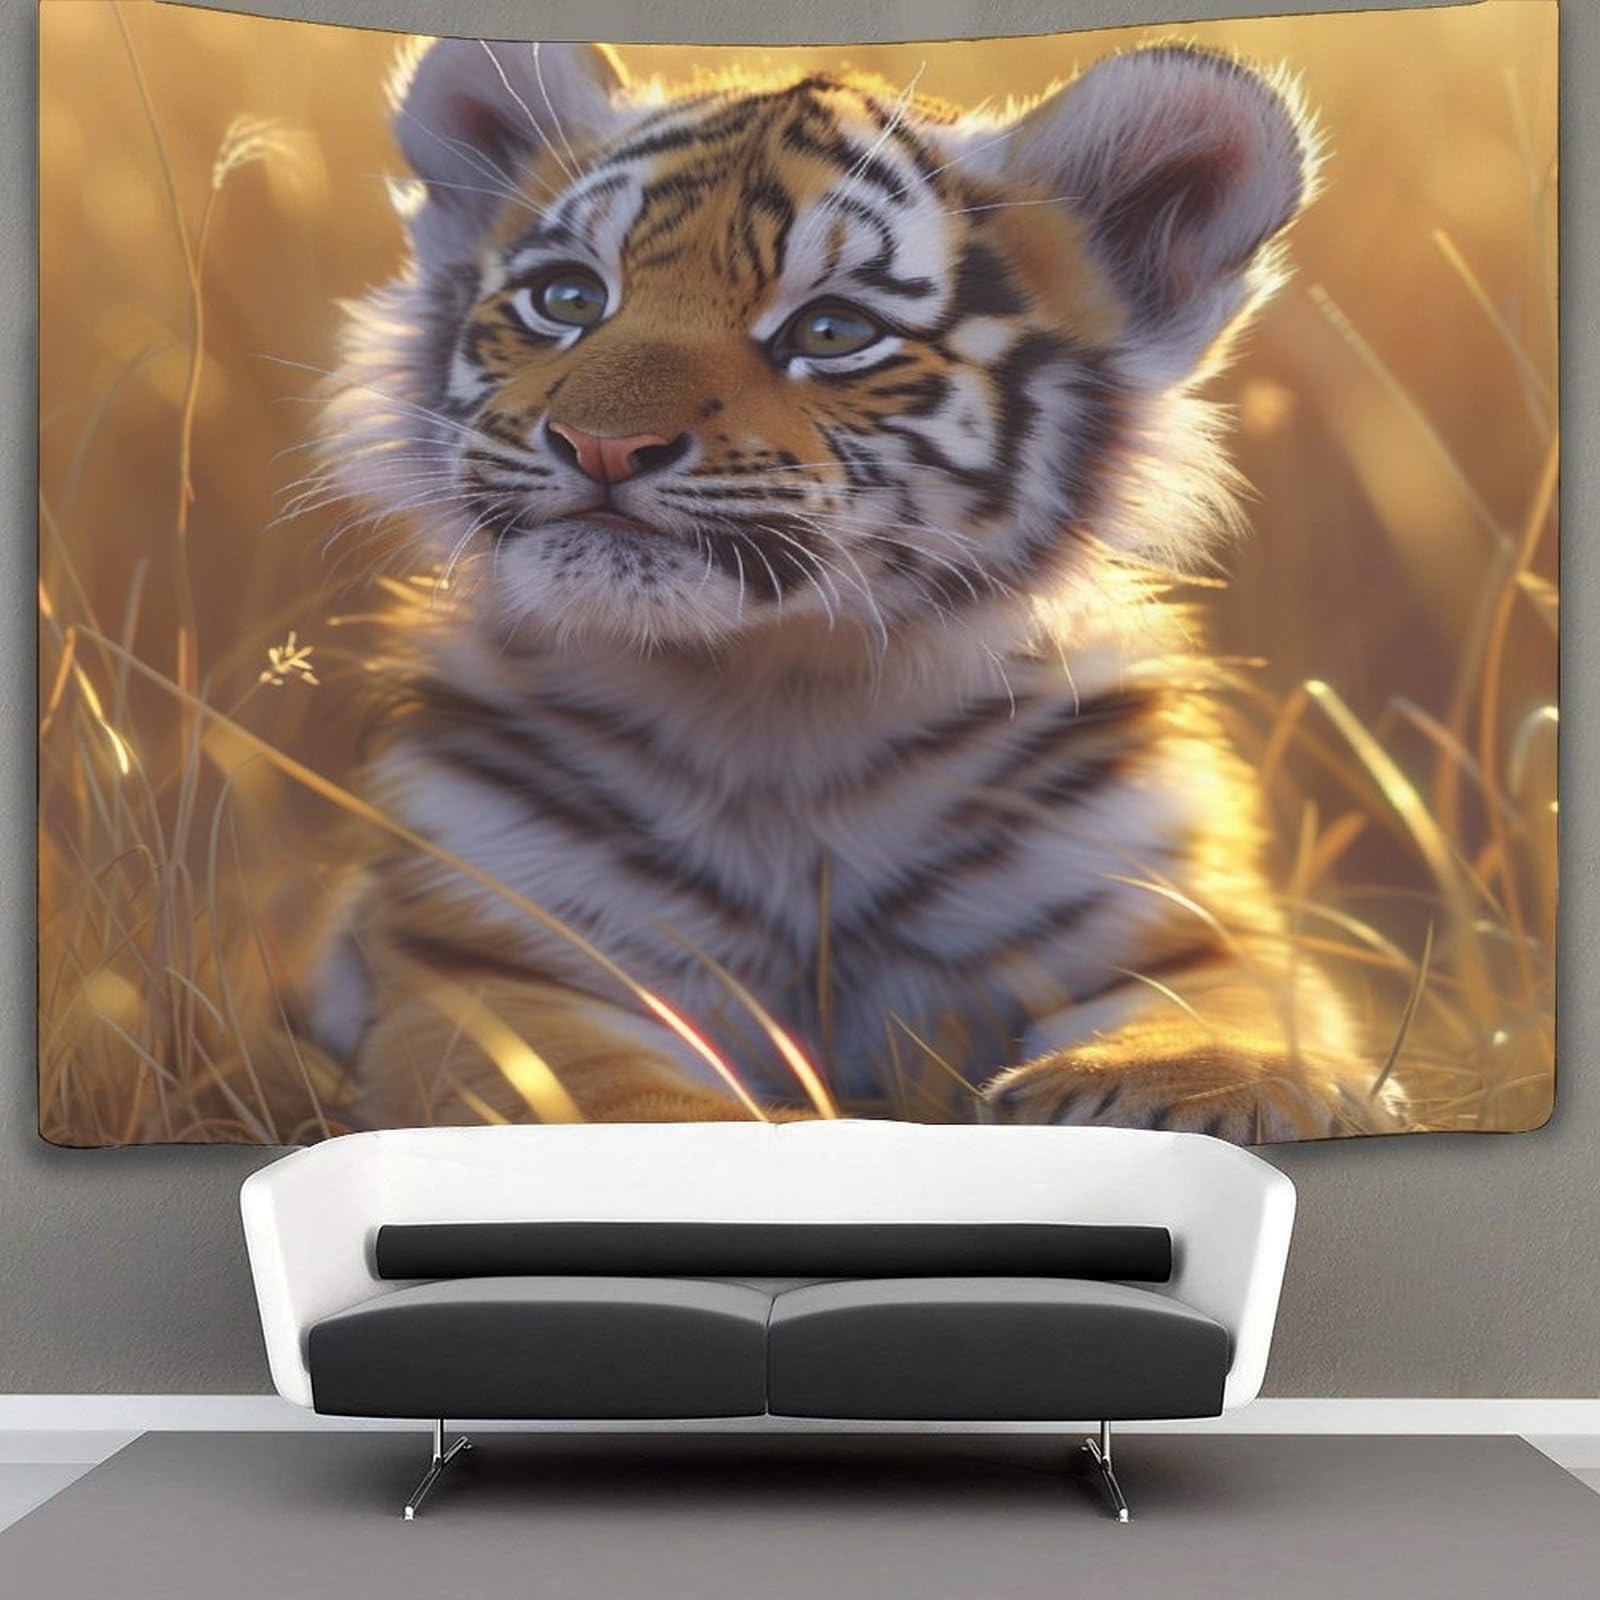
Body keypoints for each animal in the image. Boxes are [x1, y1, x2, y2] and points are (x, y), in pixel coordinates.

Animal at [303, 34, 1408, 1142]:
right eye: (568, 300)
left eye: (832, 331)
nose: (601, 445)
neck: (780, 696)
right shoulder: (497, 965)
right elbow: (629, 1105)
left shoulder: (1180, 919)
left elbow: (1230, 1022)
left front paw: (1175, 1094)